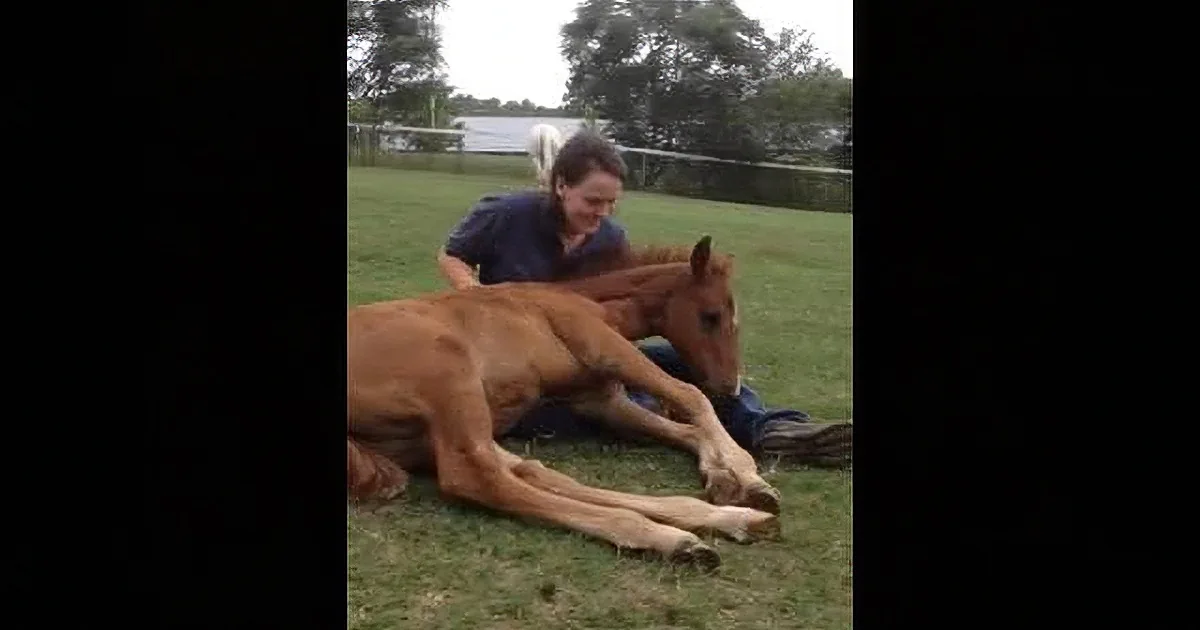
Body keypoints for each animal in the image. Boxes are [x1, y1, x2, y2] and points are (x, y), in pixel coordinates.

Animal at [347, 236, 779, 571]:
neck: (584, 299)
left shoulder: (599, 400)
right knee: (475, 477)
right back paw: (673, 540)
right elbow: (692, 397)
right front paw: (748, 473)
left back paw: (733, 519)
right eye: (711, 316)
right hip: (450, 372)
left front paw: (725, 477)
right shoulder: (604, 345)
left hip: (428, 432)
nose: (730, 388)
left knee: (532, 472)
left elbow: (685, 428)